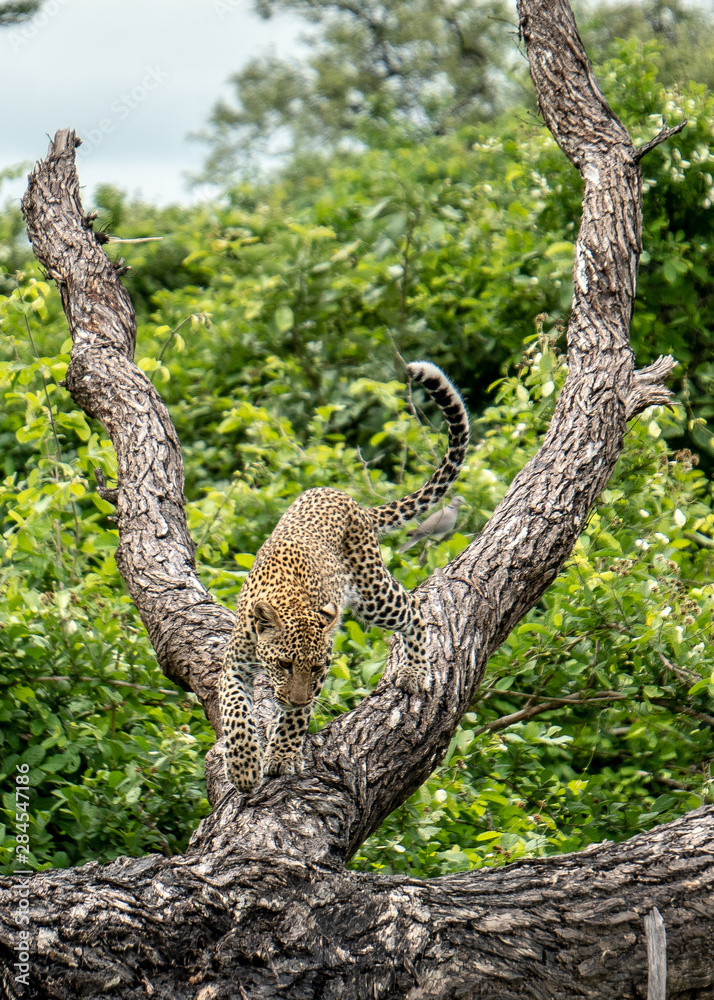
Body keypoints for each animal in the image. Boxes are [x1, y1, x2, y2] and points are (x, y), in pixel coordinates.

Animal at [219, 361, 469, 792]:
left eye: (318, 669)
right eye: (284, 664)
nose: (298, 697)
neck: (288, 596)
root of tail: (351, 501)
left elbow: (294, 720)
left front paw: (282, 755)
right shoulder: (233, 665)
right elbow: (234, 711)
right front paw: (243, 765)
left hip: (372, 594)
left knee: (414, 606)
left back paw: (414, 671)